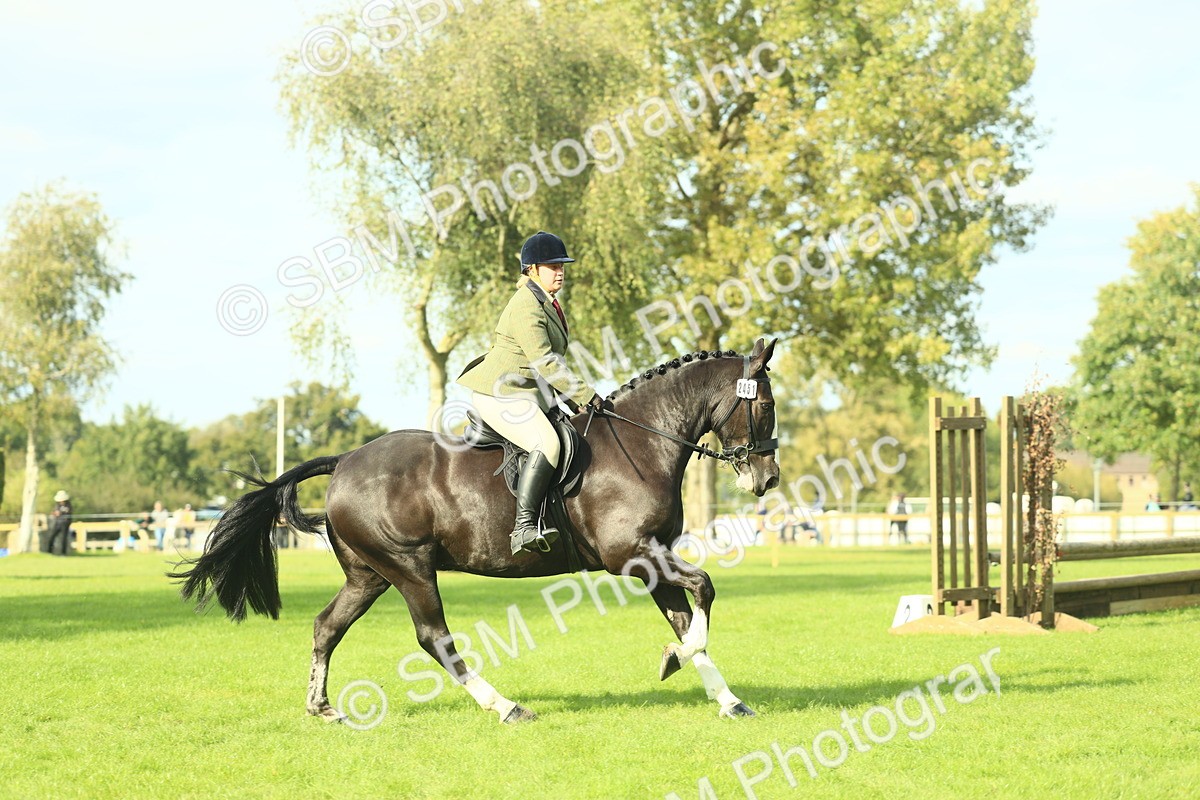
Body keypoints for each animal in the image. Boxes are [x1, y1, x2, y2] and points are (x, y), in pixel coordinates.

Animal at [173, 337, 780, 723]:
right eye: (767, 407)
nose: (768, 478)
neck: (643, 442)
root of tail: (344, 460)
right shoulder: (631, 554)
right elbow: (703, 591)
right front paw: (674, 660)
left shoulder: (652, 558)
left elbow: (685, 616)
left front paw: (726, 699)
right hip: (410, 568)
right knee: (434, 638)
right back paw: (506, 707)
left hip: (369, 575)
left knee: (327, 627)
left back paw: (321, 707)